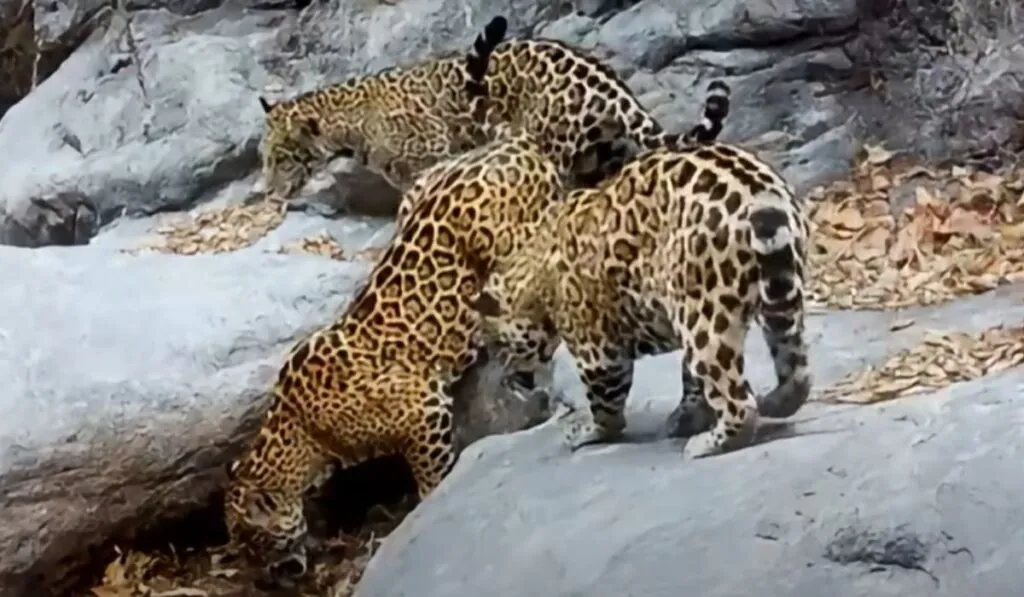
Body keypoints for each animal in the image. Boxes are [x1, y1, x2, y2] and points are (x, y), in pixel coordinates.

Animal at [223, 130, 566, 588]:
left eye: (255, 546)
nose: (262, 583)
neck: (301, 431)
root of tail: (517, 144)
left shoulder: (424, 410)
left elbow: (430, 473)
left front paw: (430, 505)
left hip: (508, 245)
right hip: (417, 190)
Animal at [471, 142, 812, 460]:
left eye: (496, 345)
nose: (509, 381)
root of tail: (761, 195)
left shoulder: (598, 351)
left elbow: (606, 404)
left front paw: (590, 432)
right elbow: (690, 382)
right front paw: (687, 416)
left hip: (704, 319)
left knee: (738, 402)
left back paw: (708, 444)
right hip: (775, 297)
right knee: (796, 367)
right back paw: (777, 402)